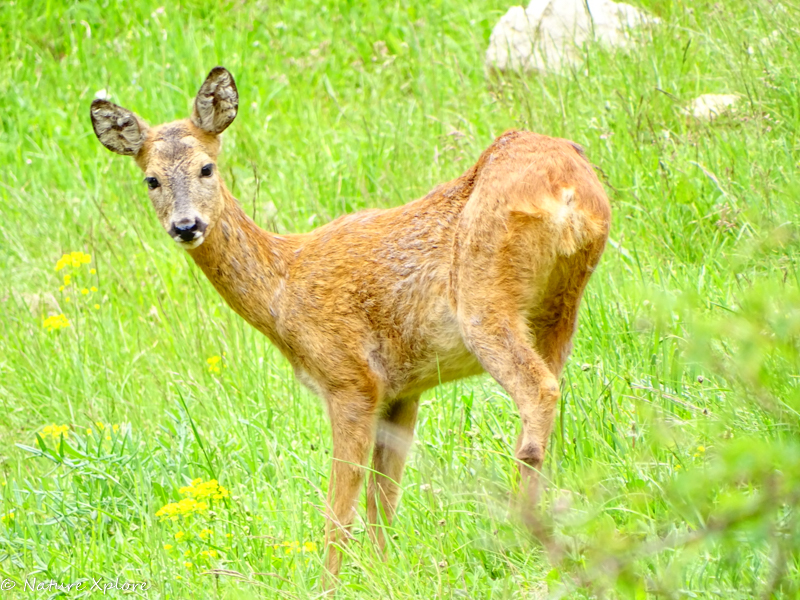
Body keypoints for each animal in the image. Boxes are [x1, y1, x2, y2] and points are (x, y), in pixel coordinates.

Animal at [89, 68, 612, 588]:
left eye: (206, 168)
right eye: (151, 179)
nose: (186, 225)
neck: (284, 287)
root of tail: (567, 187)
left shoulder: (350, 379)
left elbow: (339, 509)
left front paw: (329, 585)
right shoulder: (402, 390)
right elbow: (383, 497)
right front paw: (384, 571)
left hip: (484, 300)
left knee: (537, 391)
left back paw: (521, 538)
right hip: (559, 305)